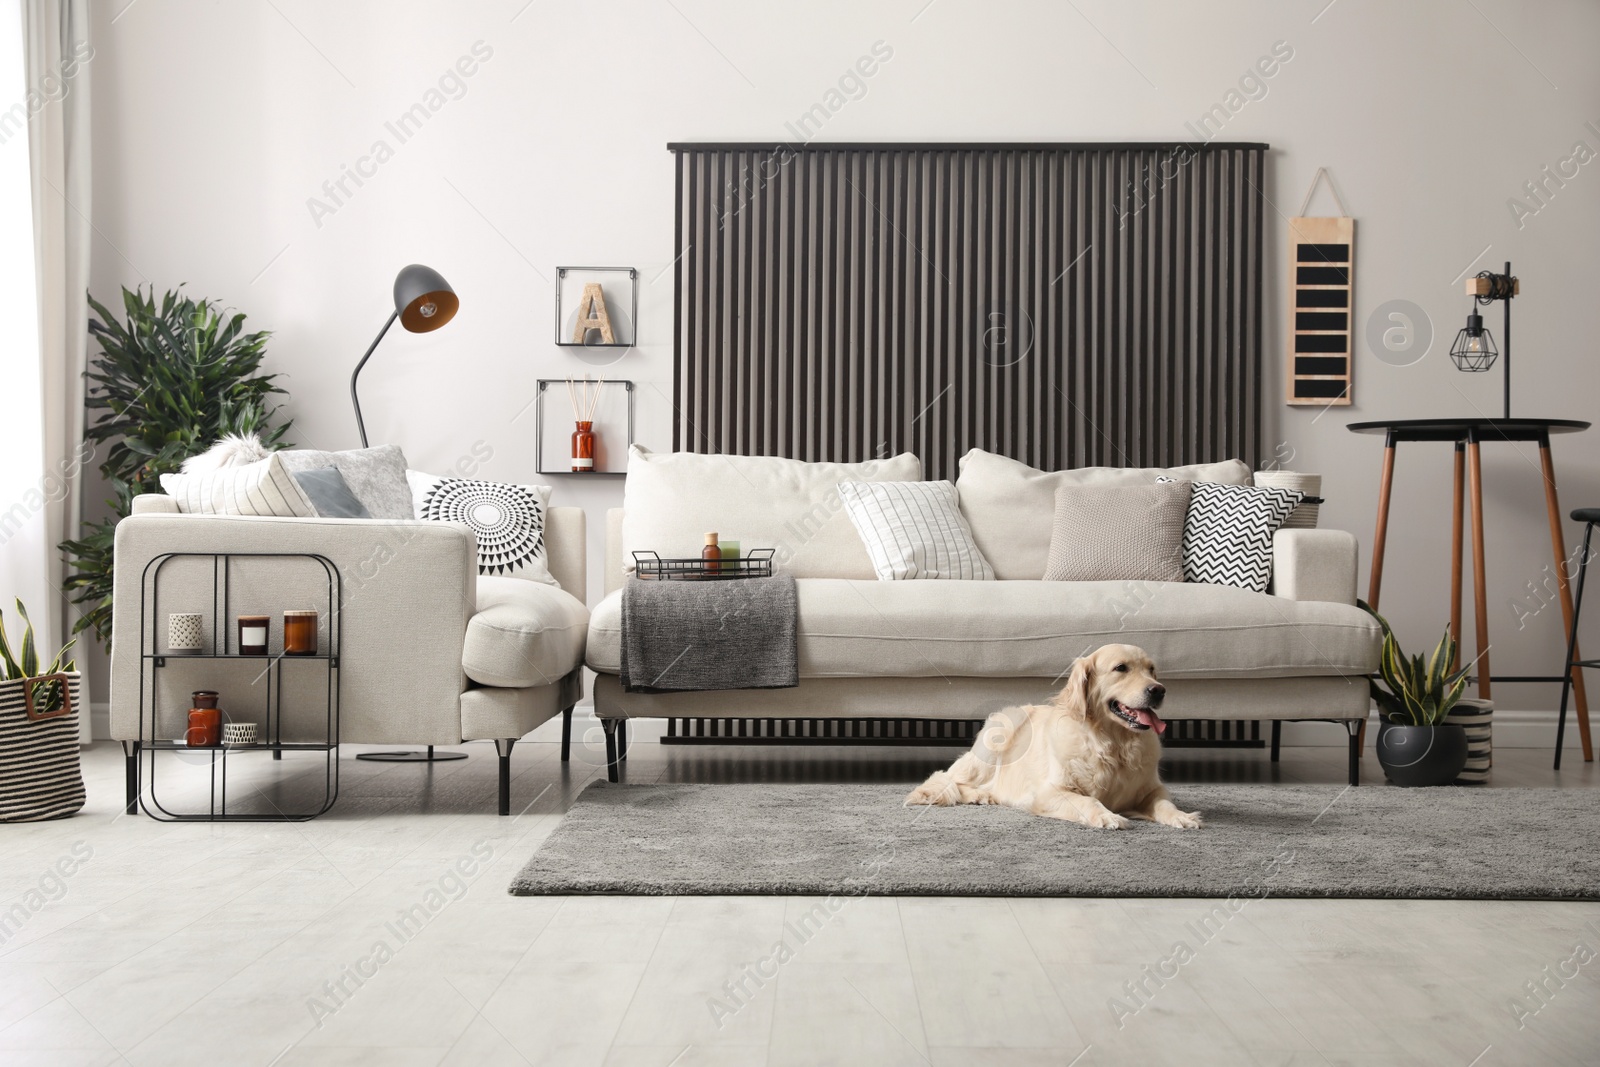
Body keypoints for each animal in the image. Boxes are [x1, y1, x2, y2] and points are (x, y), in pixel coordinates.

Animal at [915, 643, 1203, 831]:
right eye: (1121, 668)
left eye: (1152, 670)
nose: (1159, 690)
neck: (1112, 745)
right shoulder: (1048, 792)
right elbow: (1087, 800)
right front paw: (1108, 816)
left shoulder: (1153, 788)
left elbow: (1164, 803)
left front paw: (1182, 816)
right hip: (996, 738)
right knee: (946, 778)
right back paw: (978, 794)